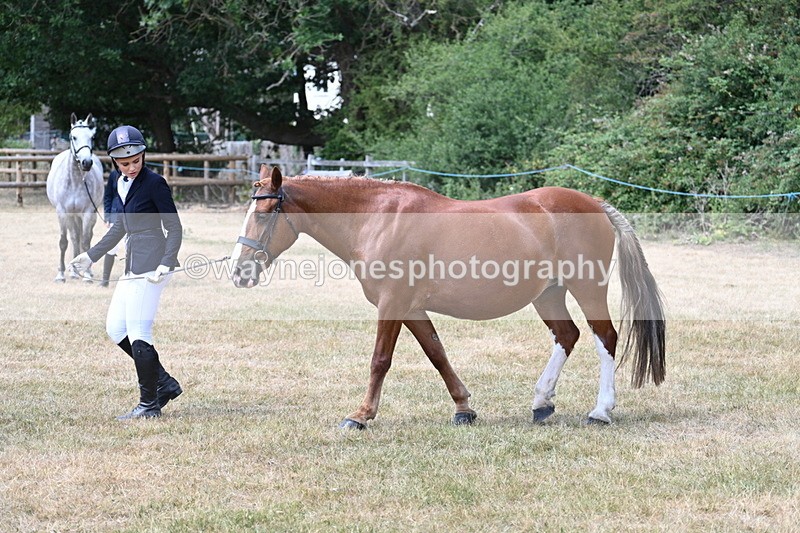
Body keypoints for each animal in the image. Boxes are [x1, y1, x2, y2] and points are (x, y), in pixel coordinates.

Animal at [46, 113, 104, 282]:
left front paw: (87, 275)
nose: (86, 162)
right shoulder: (62, 212)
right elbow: (63, 242)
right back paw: (73, 271)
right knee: (74, 237)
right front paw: (61, 274)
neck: (76, 181)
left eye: (92, 137)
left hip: (88, 215)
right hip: (72, 216)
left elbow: (85, 241)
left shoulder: (88, 212)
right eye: (74, 137)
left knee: (84, 237)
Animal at [231, 165, 666, 429]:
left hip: (586, 287)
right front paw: (464, 409)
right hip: (548, 294)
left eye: (266, 213)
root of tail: (595, 204)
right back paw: (542, 402)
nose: (239, 271)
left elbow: (380, 361)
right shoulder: (411, 308)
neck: (378, 218)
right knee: (567, 335)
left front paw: (361, 415)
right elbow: (438, 354)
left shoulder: (392, 304)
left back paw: (601, 411)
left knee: (604, 338)